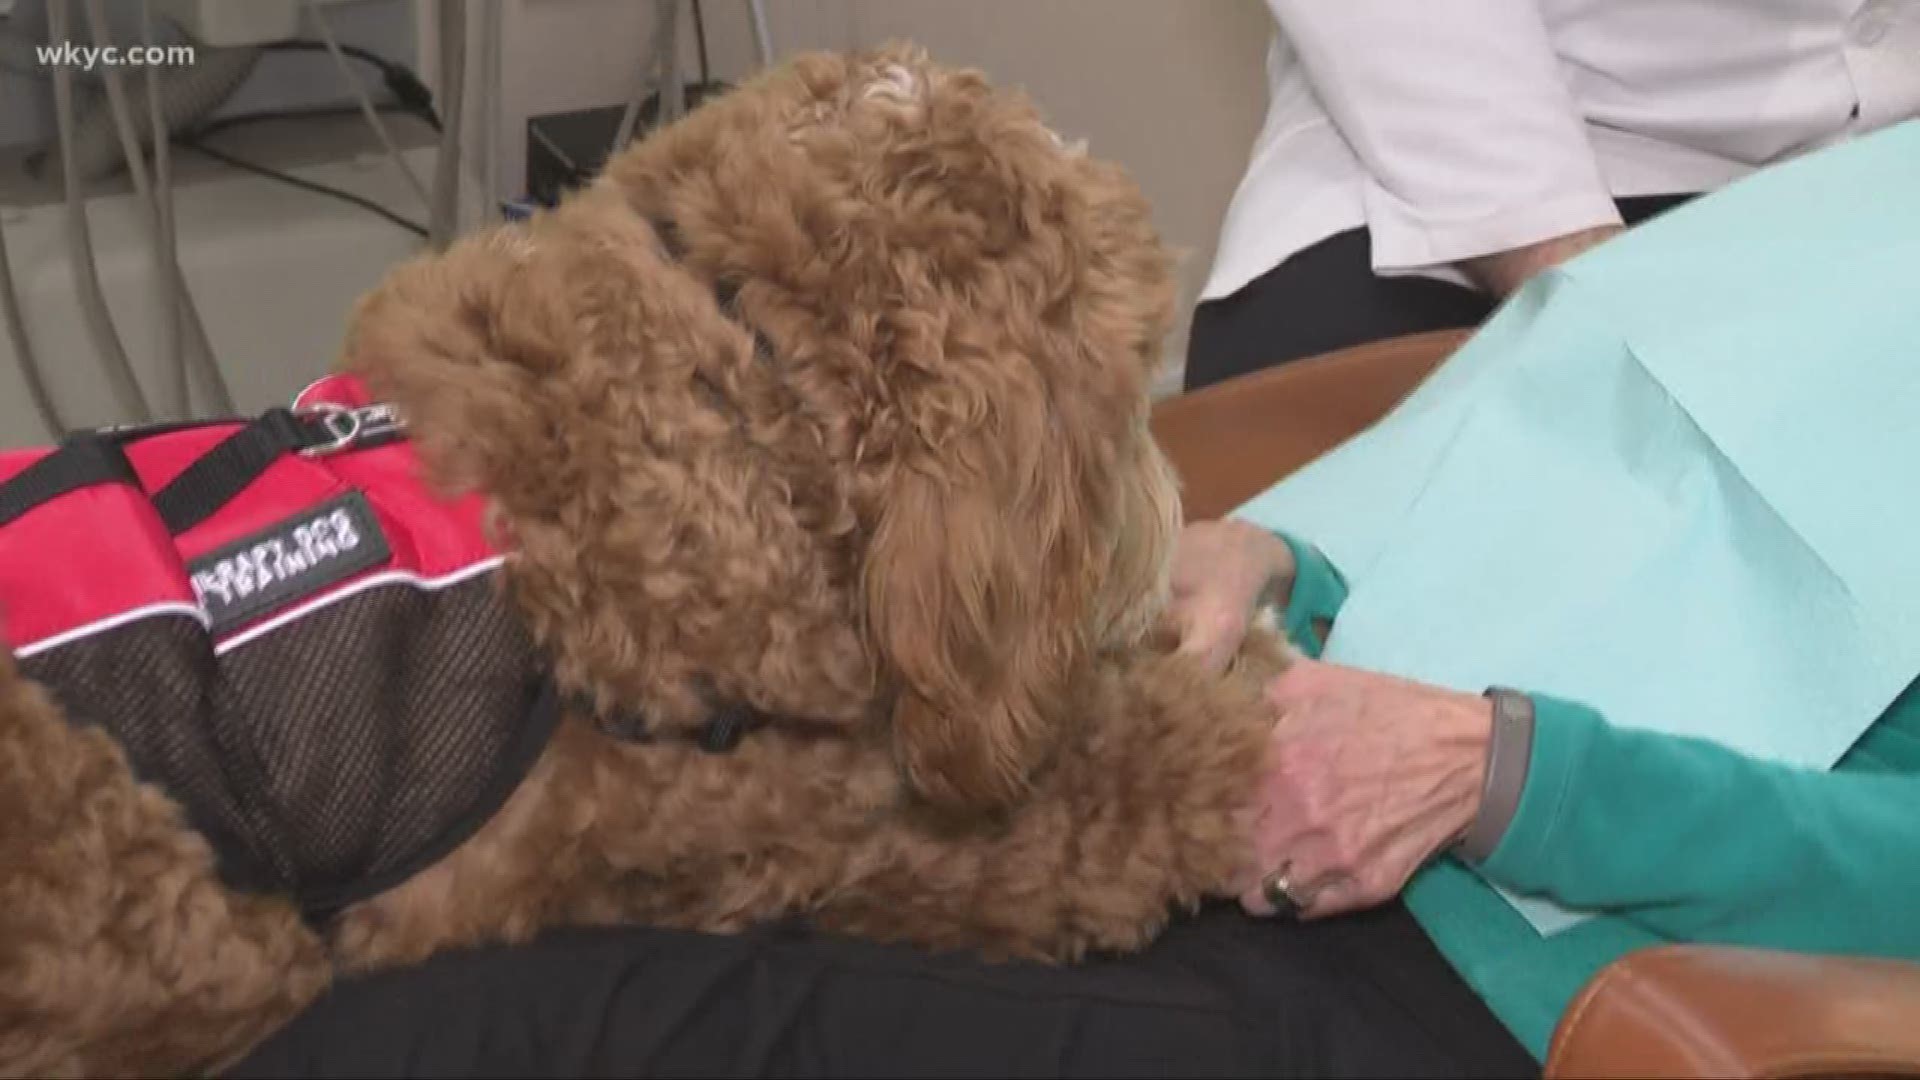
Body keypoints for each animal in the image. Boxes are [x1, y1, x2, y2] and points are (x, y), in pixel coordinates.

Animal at [0, 44, 1297, 1076]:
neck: (734, 369)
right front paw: (1243, 718)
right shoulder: (809, 828)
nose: (1166, 525)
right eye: (1129, 386)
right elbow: (1095, 807)